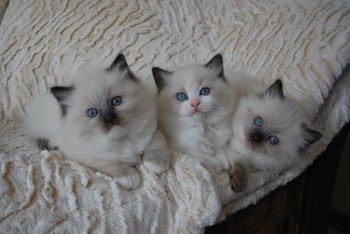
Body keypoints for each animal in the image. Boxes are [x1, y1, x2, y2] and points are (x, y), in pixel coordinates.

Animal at [26, 53, 169, 190]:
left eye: (116, 101)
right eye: (92, 113)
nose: (109, 118)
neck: (122, 140)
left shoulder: (153, 130)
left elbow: (157, 145)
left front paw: (155, 165)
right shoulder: (88, 156)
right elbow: (113, 165)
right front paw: (130, 179)